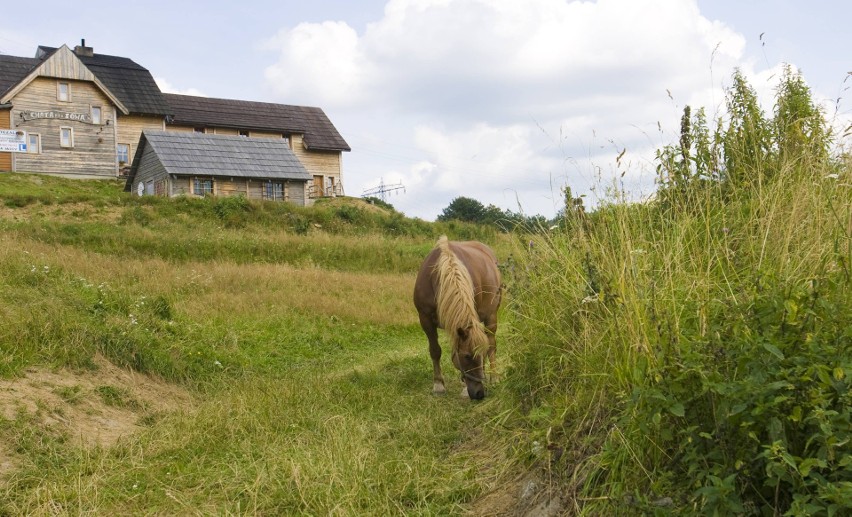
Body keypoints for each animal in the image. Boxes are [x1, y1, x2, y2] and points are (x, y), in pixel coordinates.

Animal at [412, 236, 500, 402]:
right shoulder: (425, 320)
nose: (479, 394)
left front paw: (464, 389)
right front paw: (438, 385)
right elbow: (435, 350)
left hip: (491, 318)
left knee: (492, 345)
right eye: (466, 356)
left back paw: (494, 378)